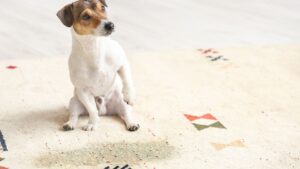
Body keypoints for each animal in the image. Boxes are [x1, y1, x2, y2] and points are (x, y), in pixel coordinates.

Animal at [56, 0, 139, 131]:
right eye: (85, 16)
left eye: (103, 8)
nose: (110, 25)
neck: (95, 47)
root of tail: (104, 112)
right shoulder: (83, 91)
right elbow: (92, 110)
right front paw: (92, 124)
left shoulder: (122, 63)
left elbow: (127, 79)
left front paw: (129, 95)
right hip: (74, 102)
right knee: (75, 115)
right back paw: (70, 124)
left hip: (121, 104)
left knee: (126, 114)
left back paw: (132, 124)